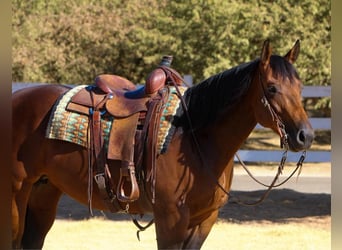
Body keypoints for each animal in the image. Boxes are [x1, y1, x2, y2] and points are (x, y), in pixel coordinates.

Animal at [12, 40, 314, 249]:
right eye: (272, 88)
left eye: (300, 87)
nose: (305, 136)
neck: (195, 139)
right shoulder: (171, 219)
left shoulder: (204, 220)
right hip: (15, 193)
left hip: (44, 192)